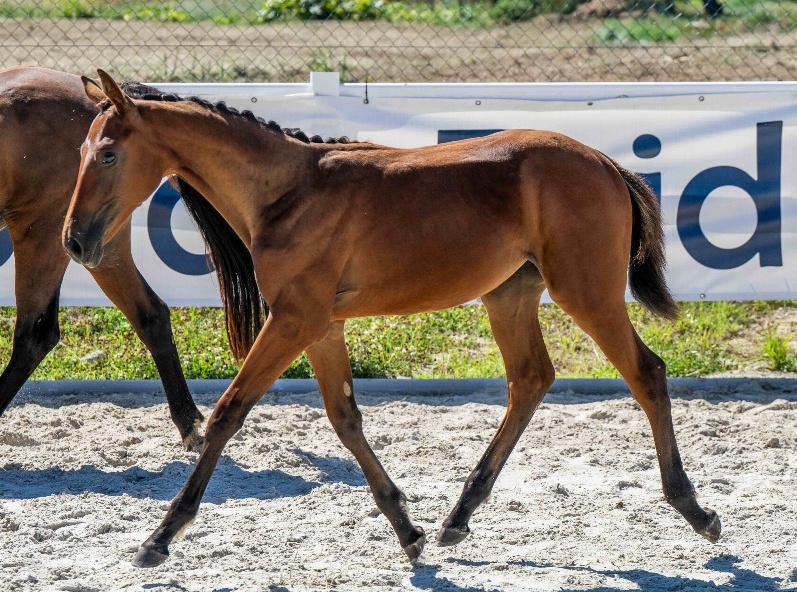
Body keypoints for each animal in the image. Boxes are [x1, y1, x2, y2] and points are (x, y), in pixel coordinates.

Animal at [0, 66, 261, 451]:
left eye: (107, 156)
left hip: (47, 233)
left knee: (33, 334)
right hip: (93, 242)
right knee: (149, 316)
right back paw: (189, 422)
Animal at [64, 70, 721, 567]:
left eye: (110, 153)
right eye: (80, 152)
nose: (74, 241)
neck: (286, 193)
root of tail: (605, 162)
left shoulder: (294, 320)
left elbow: (227, 415)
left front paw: (160, 536)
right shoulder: (321, 326)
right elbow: (346, 419)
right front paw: (408, 529)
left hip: (587, 293)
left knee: (646, 374)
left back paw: (695, 510)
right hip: (509, 296)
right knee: (531, 380)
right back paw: (458, 516)